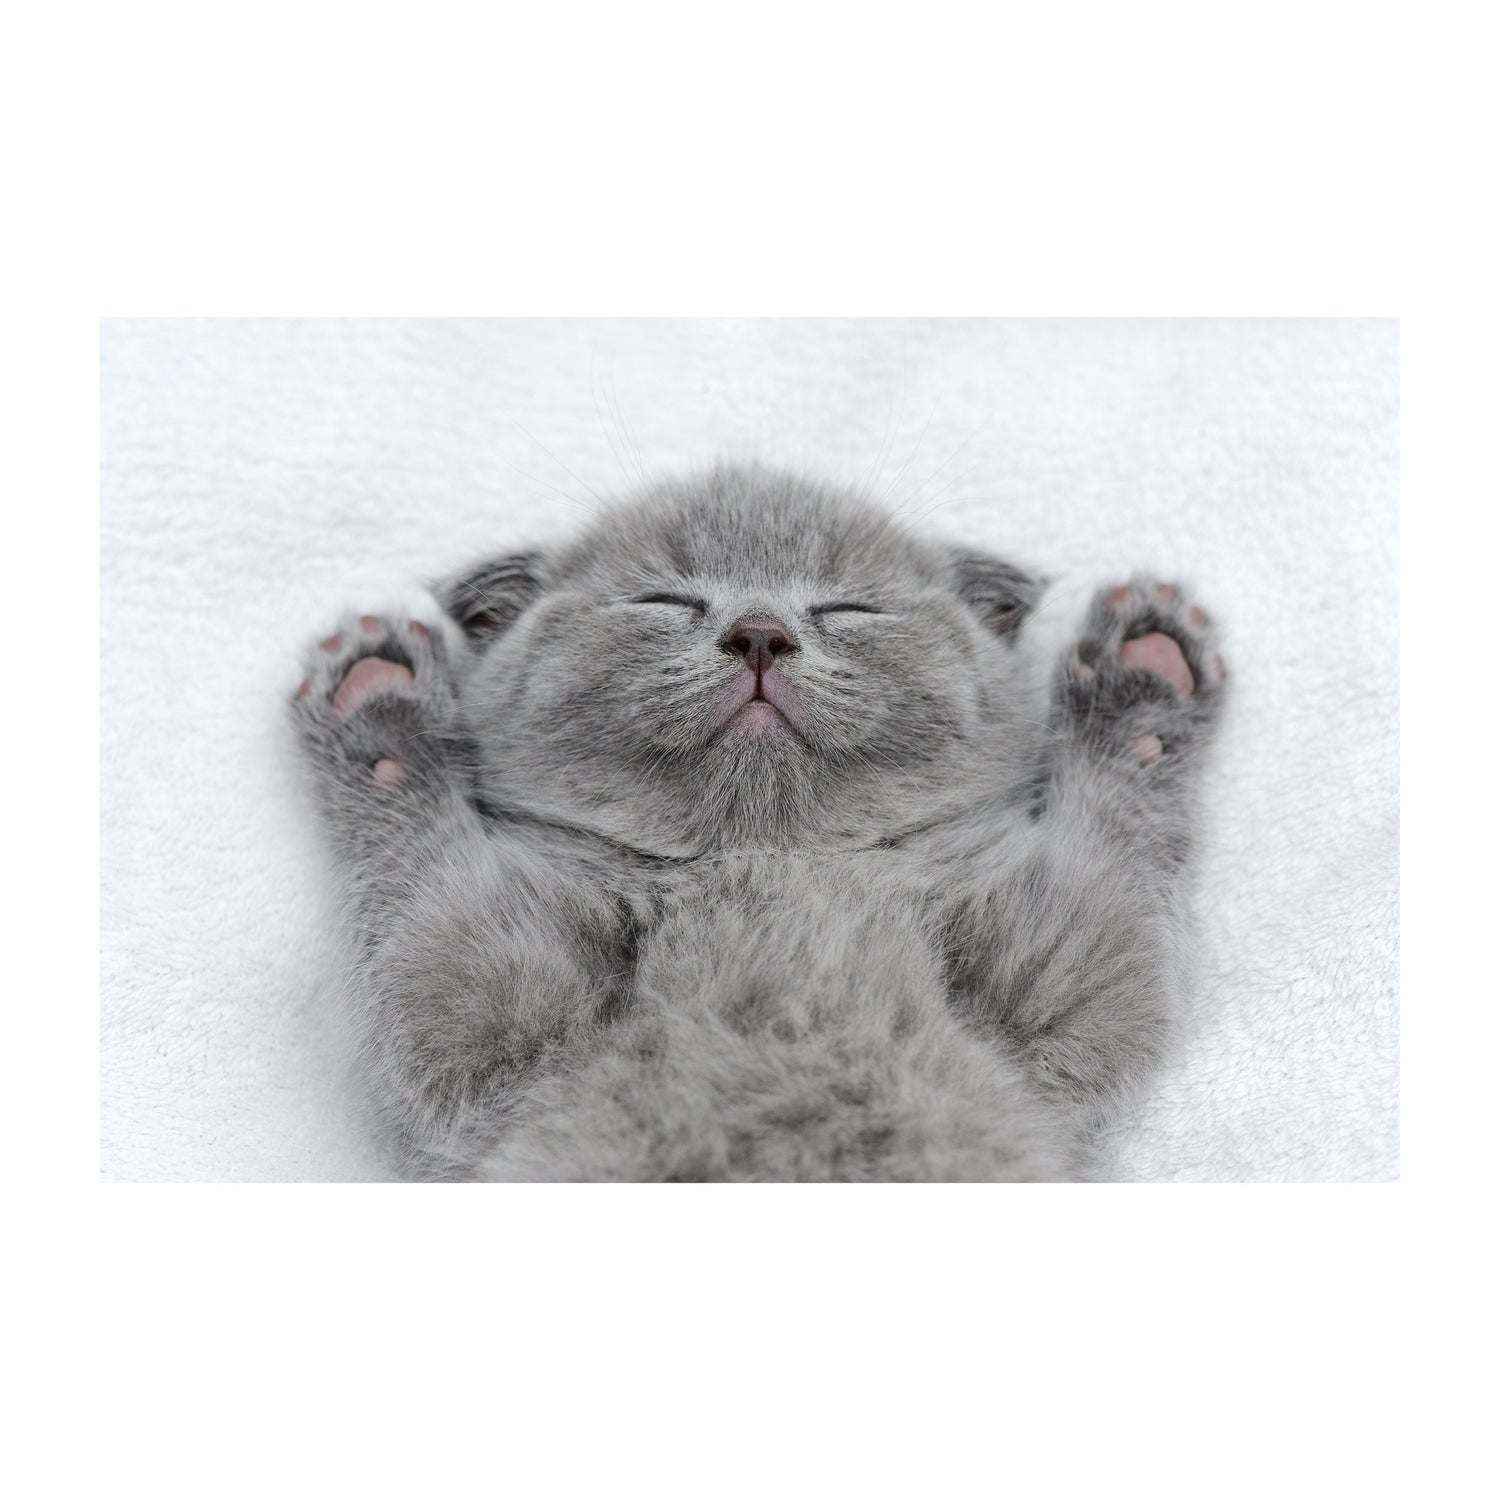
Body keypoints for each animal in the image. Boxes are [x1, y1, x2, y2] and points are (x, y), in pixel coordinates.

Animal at [292, 464, 1225, 1180]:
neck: (765, 860)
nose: (759, 634)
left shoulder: (1060, 986)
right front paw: (384, 710)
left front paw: (1141, 680)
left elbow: (1113, 886)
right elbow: (427, 920)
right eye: (664, 600)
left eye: (848, 610)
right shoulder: (479, 1024)